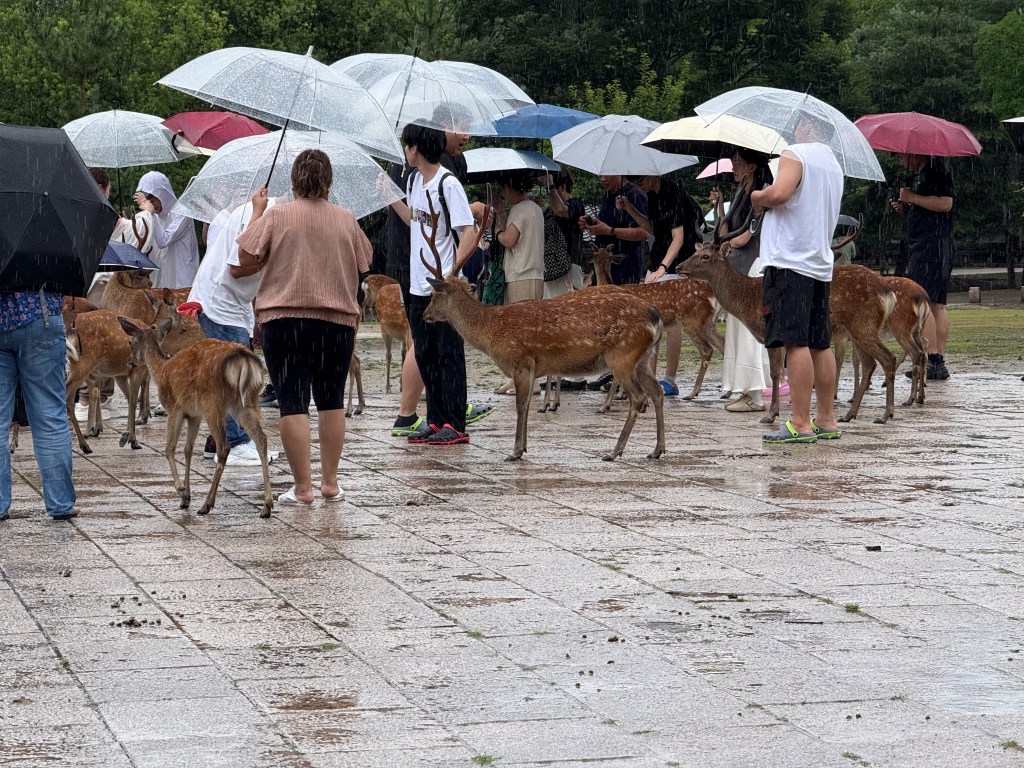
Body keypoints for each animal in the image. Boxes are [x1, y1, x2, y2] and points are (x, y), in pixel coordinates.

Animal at [117, 317, 273, 518]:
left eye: (130, 342)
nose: (130, 362)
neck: (160, 371)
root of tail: (244, 359)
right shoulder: (194, 415)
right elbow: (187, 449)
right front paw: (186, 497)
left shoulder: (175, 408)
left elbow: (169, 449)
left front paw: (182, 492)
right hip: (247, 401)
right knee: (261, 439)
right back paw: (266, 506)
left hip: (213, 403)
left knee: (224, 447)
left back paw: (207, 504)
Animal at [417, 196, 665, 461]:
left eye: (433, 295)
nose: (424, 315)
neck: (490, 331)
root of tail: (655, 316)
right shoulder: (533, 367)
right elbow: (526, 405)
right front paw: (523, 447)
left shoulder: (521, 361)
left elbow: (521, 405)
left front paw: (515, 451)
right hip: (642, 358)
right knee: (657, 391)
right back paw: (657, 450)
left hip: (622, 355)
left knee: (639, 397)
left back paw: (614, 451)